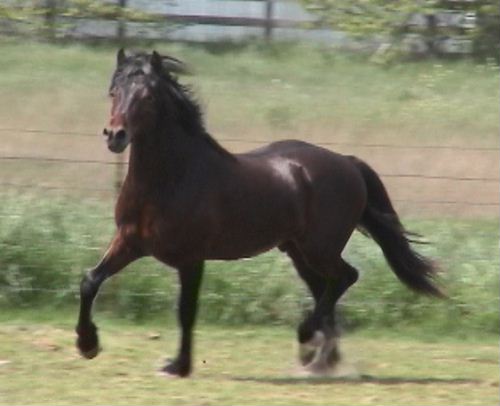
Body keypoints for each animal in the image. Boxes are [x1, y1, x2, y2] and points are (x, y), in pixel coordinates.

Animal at [74, 50, 442, 378]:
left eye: (148, 97)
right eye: (113, 91)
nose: (115, 136)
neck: (172, 177)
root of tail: (348, 162)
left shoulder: (192, 258)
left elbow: (186, 311)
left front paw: (178, 367)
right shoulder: (130, 242)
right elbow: (91, 280)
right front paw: (87, 345)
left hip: (320, 249)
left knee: (344, 278)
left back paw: (308, 341)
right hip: (299, 251)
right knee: (325, 288)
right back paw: (322, 359)